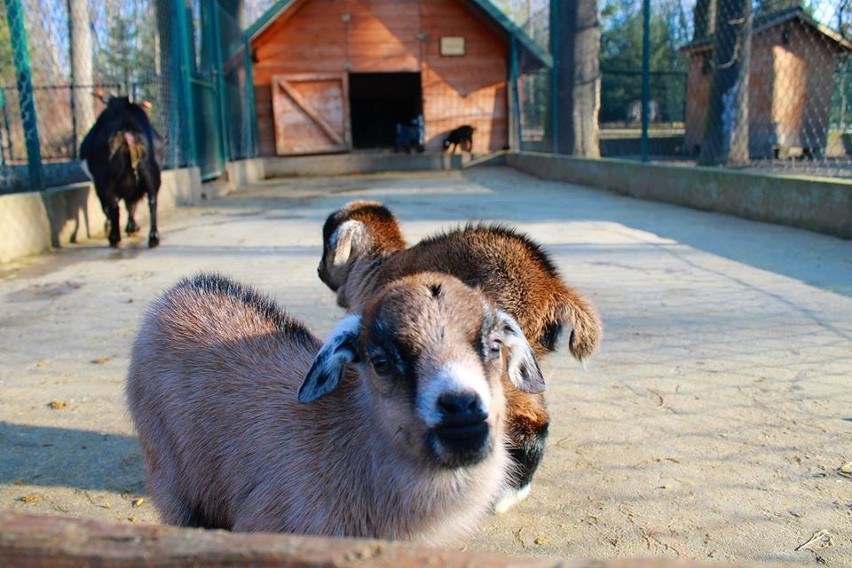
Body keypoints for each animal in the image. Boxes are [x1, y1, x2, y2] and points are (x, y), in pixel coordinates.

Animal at [81, 94, 165, 247]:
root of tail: (128, 134)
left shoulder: (99, 183)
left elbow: (110, 207)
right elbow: (131, 204)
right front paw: (132, 228)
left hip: (106, 180)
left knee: (113, 206)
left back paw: (114, 238)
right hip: (151, 174)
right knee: (151, 200)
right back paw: (153, 237)